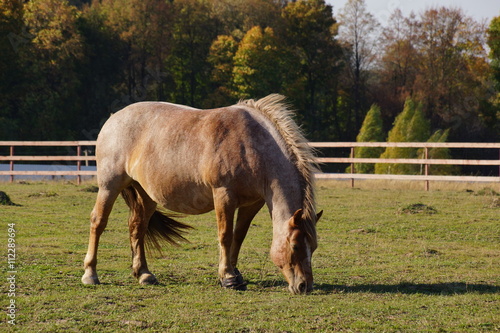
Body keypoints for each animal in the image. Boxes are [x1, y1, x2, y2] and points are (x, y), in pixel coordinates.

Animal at [81, 93, 324, 294]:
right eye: (294, 246)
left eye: (313, 246)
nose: (305, 286)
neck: (251, 144)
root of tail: (114, 118)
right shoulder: (224, 195)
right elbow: (225, 236)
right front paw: (228, 278)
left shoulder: (252, 203)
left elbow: (239, 236)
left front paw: (236, 273)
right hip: (109, 186)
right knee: (98, 222)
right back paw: (90, 274)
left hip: (147, 196)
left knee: (137, 228)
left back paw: (144, 274)